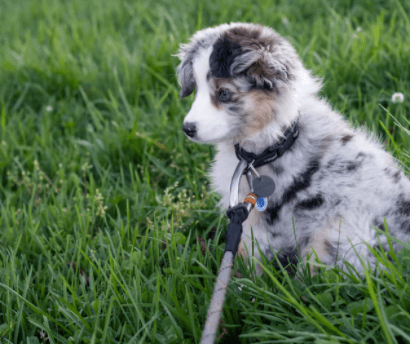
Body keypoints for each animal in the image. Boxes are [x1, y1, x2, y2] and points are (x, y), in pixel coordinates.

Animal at [175, 22, 410, 276]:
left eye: (224, 93)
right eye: (196, 90)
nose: (187, 128)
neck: (277, 143)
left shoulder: (263, 221)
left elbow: (250, 256)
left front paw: (242, 282)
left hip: (334, 238)